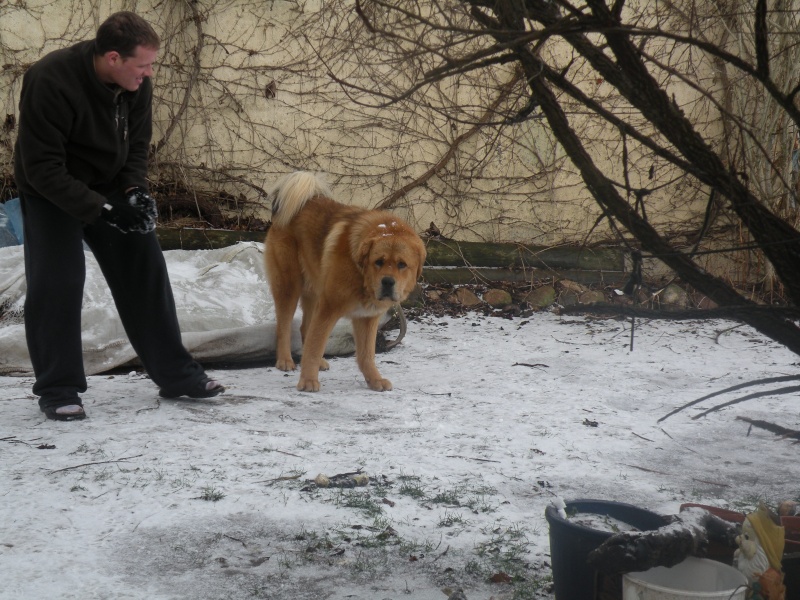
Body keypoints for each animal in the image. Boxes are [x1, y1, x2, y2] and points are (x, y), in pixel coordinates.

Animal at [266, 171, 428, 392]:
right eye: (379, 261)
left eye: (402, 264)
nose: (387, 282)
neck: (361, 274)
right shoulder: (329, 307)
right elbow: (315, 347)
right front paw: (308, 381)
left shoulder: (367, 317)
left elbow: (366, 354)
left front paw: (374, 380)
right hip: (289, 286)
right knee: (284, 327)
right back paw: (284, 361)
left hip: (315, 292)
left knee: (305, 328)